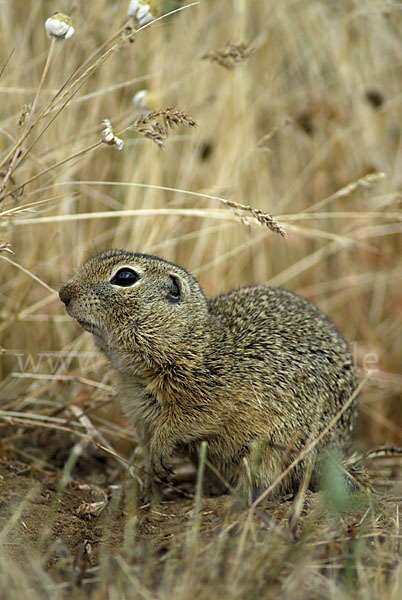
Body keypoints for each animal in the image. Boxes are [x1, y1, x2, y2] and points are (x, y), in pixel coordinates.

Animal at [59, 248, 358, 496]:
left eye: (125, 276)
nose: (63, 294)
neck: (188, 341)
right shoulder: (140, 416)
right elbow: (147, 443)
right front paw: (150, 480)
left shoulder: (206, 400)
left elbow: (180, 425)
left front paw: (160, 454)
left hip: (272, 453)